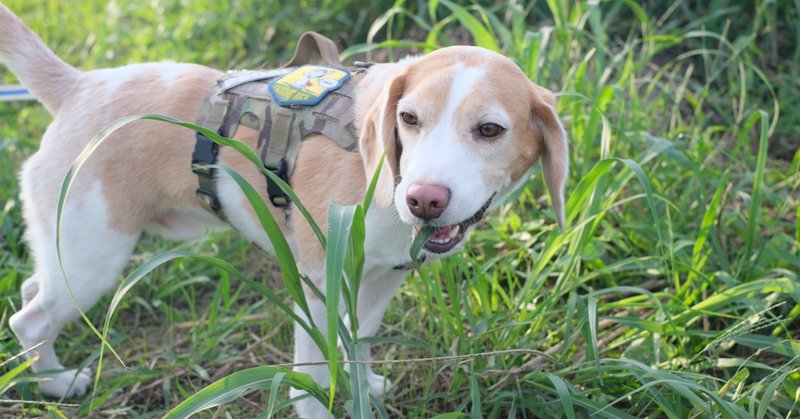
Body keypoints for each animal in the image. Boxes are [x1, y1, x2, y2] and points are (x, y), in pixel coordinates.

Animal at [0, 2, 568, 416]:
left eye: (489, 130)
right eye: (409, 119)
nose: (423, 199)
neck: (380, 175)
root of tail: (78, 85)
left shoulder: (380, 278)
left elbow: (360, 338)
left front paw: (365, 386)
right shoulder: (319, 285)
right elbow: (313, 377)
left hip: (66, 252)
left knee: (31, 295)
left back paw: (45, 373)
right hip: (93, 257)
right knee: (29, 319)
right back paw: (55, 384)